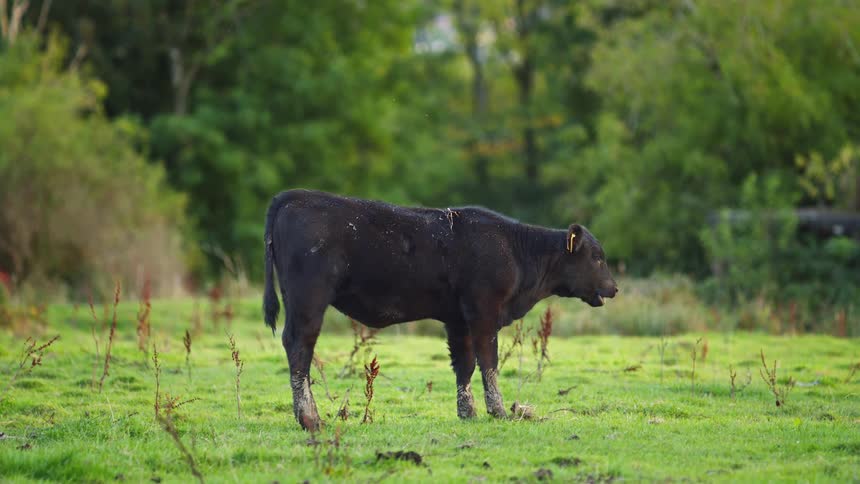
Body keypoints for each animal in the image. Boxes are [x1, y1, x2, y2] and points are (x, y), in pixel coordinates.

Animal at [263, 189, 617, 430]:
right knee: (299, 348)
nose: (614, 287)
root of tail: (295, 196)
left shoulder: (457, 320)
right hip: (309, 301)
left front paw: (468, 412)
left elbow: (465, 366)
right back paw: (310, 419)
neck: (516, 250)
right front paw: (499, 411)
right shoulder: (483, 313)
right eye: (597, 257)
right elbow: (489, 363)